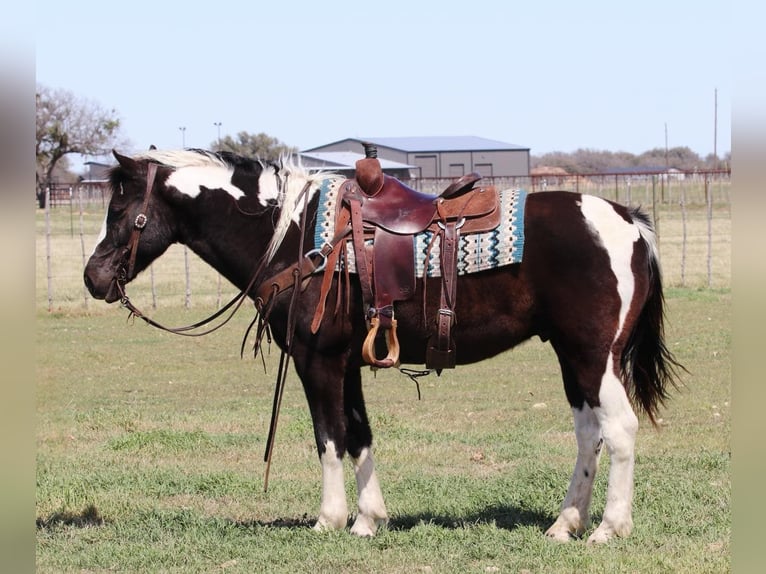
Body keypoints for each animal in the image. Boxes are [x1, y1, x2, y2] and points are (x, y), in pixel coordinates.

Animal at [84, 147, 684, 544]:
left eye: (121, 212)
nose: (93, 277)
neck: (292, 236)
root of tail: (629, 219)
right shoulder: (348, 363)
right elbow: (360, 436)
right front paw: (368, 518)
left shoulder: (318, 361)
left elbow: (328, 437)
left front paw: (328, 519)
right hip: (572, 358)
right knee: (588, 434)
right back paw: (565, 523)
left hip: (594, 356)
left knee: (619, 430)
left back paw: (608, 528)